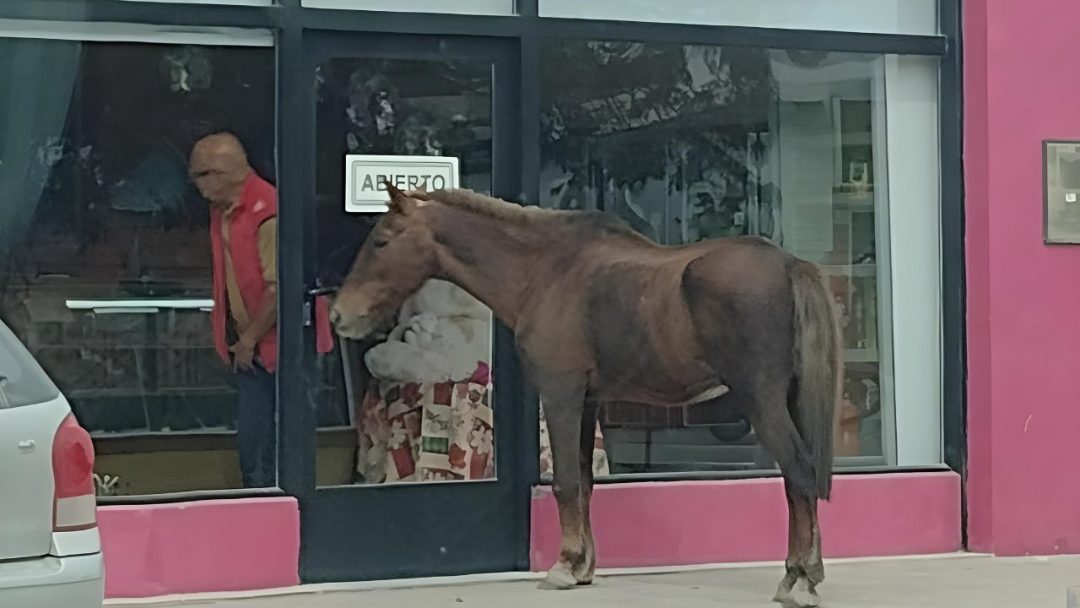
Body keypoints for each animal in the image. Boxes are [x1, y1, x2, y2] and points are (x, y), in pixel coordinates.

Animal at [328, 185, 842, 608]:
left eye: (381, 240)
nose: (337, 315)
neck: (545, 270)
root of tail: (790, 265)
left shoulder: (559, 391)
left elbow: (565, 482)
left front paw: (564, 565)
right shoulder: (588, 401)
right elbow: (585, 481)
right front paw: (583, 566)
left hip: (762, 401)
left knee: (799, 472)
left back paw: (799, 581)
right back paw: (804, 572)